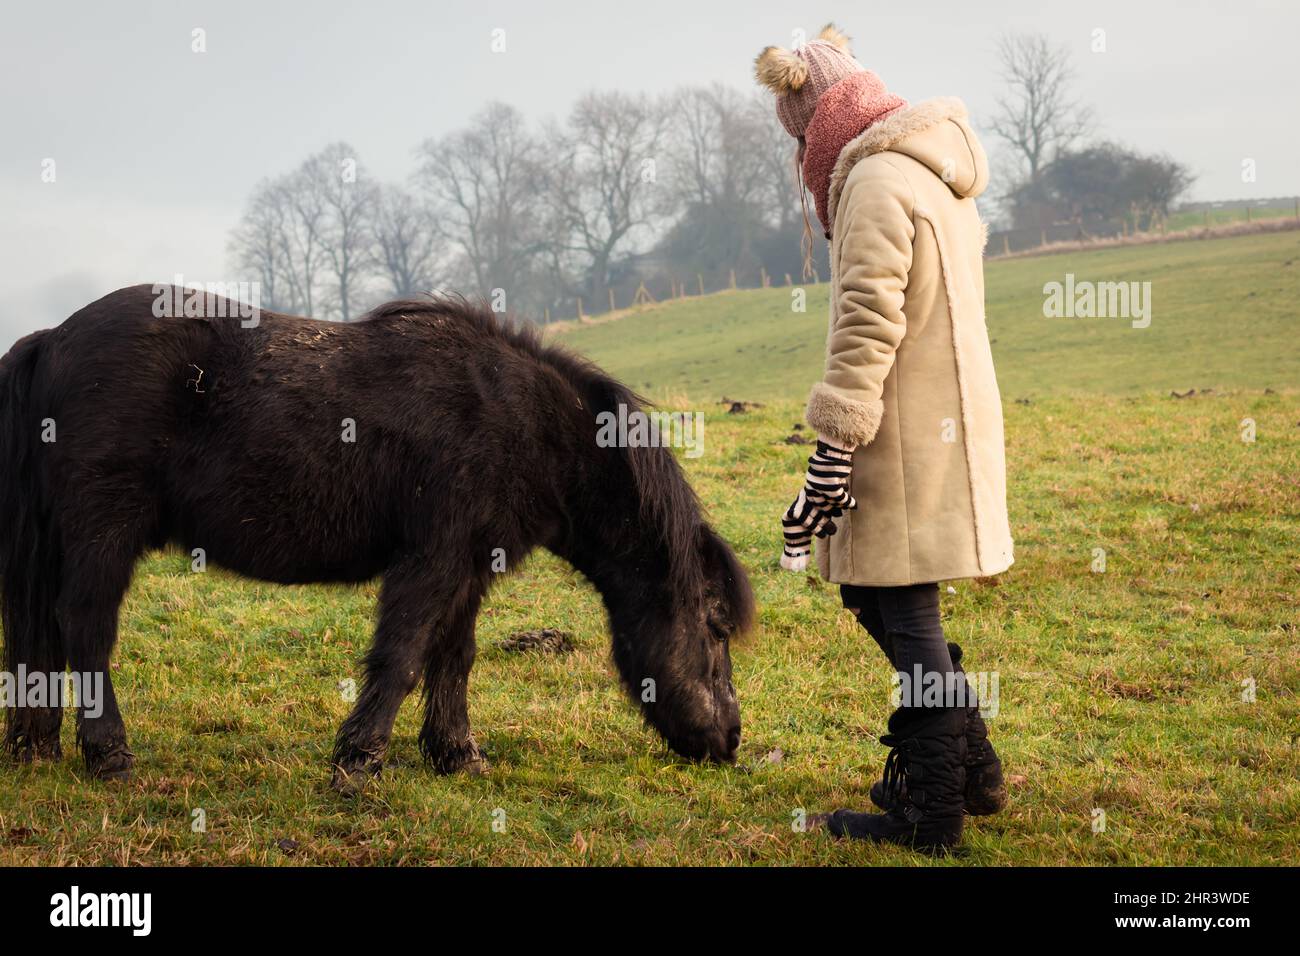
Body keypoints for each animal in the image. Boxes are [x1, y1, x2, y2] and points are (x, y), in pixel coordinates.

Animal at [0, 283, 754, 790]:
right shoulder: (432, 559)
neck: (525, 423)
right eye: (716, 628)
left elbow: (454, 657)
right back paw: (109, 755)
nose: (730, 738)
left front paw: (456, 755)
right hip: (104, 532)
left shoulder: (470, 566)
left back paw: (38, 747)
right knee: (85, 630)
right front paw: (358, 761)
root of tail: (52, 338)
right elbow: (402, 656)